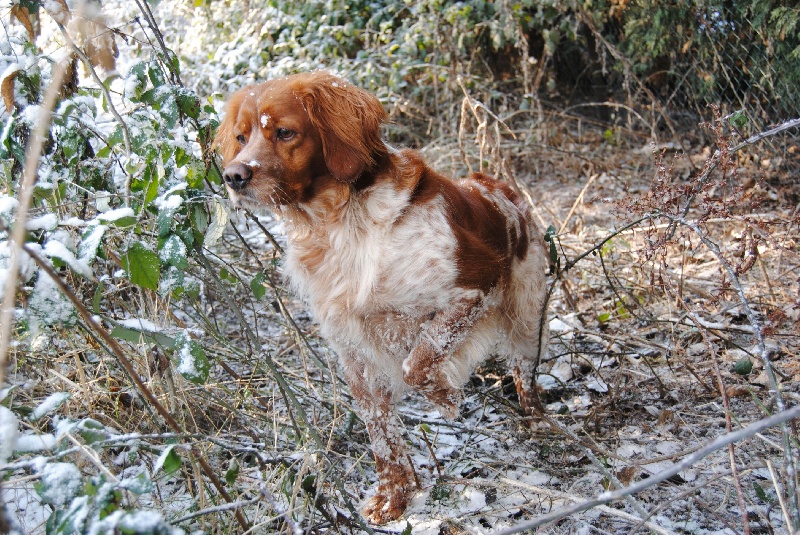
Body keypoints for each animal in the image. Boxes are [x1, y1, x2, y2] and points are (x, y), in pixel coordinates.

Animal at [212, 72, 552, 528]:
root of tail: (498, 185)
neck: (341, 224)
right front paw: (395, 499)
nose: (234, 176)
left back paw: (538, 421)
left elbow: (417, 363)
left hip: (525, 319)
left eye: (284, 132)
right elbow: (381, 436)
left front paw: (446, 397)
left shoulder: (472, 287)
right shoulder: (354, 350)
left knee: (524, 374)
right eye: (241, 136)